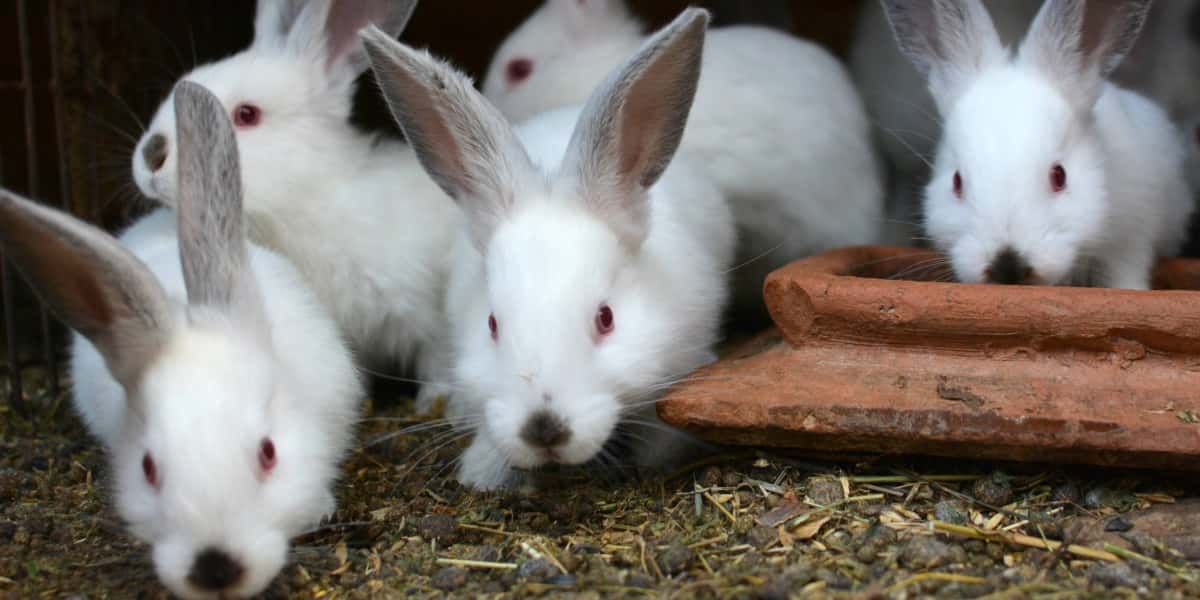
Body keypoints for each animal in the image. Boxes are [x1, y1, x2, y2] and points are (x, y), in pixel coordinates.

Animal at [130, 0, 462, 411]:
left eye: (247, 115)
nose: (151, 155)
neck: (307, 200)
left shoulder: (426, 313)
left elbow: (439, 359)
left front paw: (434, 401)